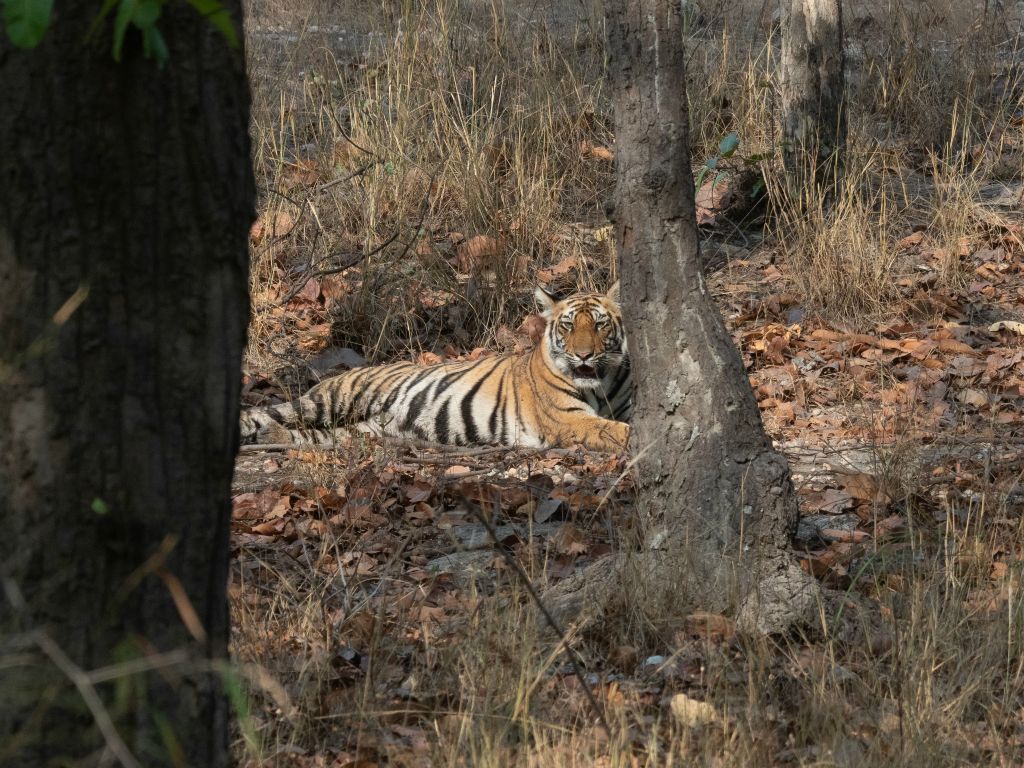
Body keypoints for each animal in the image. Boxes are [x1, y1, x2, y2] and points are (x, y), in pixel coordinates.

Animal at [239, 282, 630, 450]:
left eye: (599, 324)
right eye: (568, 326)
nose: (584, 355)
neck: (600, 384)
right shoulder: (569, 419)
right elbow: (614, 431)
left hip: (359, 430)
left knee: (309, 436)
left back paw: (271, 438)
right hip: (330, 398)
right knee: (268, 412)